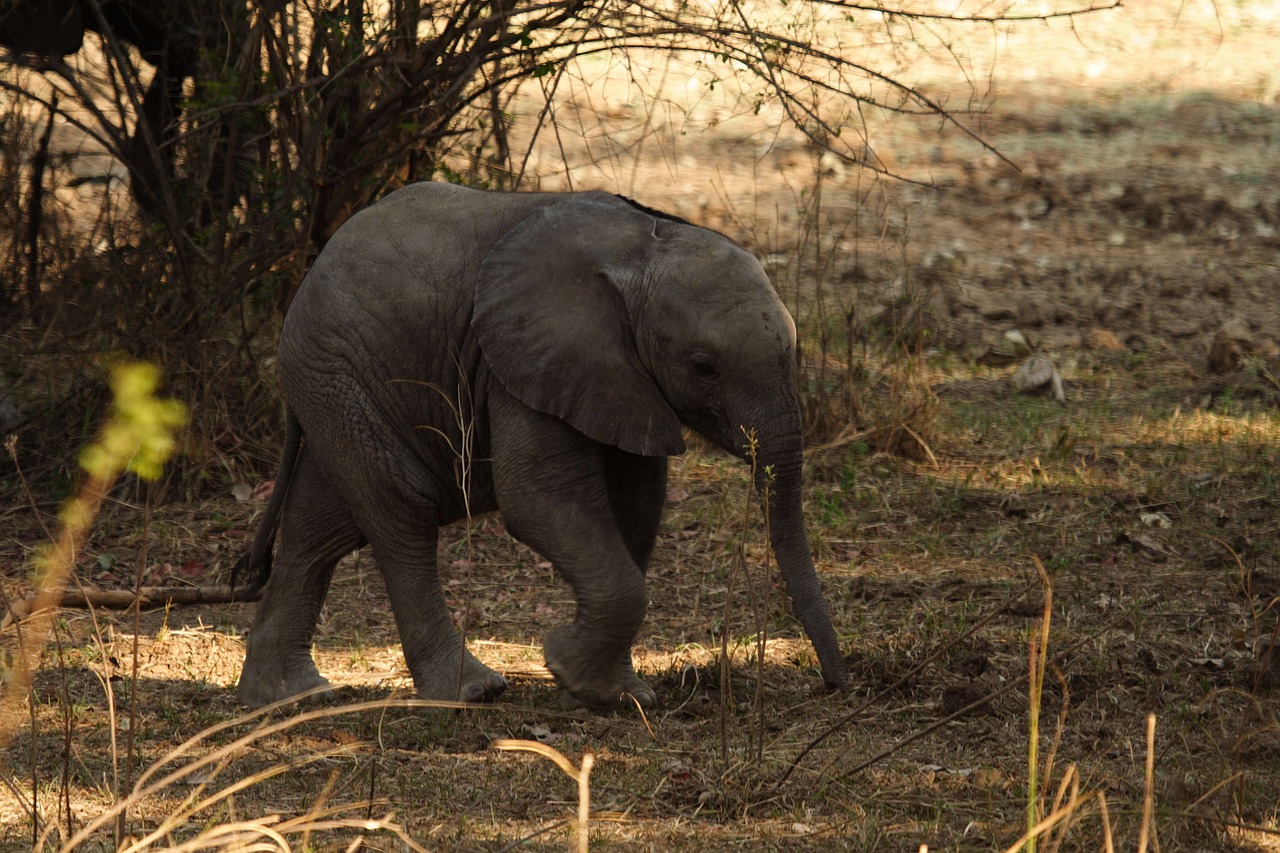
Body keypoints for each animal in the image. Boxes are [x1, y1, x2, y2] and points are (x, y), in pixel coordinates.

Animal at [235, 183, 844, 706]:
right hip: (339, 372)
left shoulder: (618, 376)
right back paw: (473, 691)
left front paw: (612, 694)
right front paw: (567, 667)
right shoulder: (523, 359)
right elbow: (539, 499)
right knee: (400, 510)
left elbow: (636, 505)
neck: (641, 247)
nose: (836, 684)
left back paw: (288, 696)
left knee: (322, 527)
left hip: (336, 384)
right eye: (704, 367)